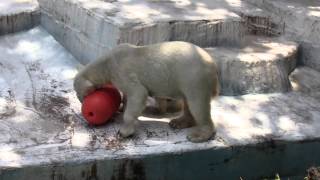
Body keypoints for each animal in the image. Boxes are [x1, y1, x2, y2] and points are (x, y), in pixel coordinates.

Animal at [74, 41, 220, 142]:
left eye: (80, 95)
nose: (82, 102)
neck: (108, 61)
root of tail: (213, 66)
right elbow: (128, 96)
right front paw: (121, 107)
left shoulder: (122, 71)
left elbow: (138, 93)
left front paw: (124, 132)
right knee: (187, 102)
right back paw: (177, 122)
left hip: (194, 76)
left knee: (197, 103)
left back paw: (198, 135)